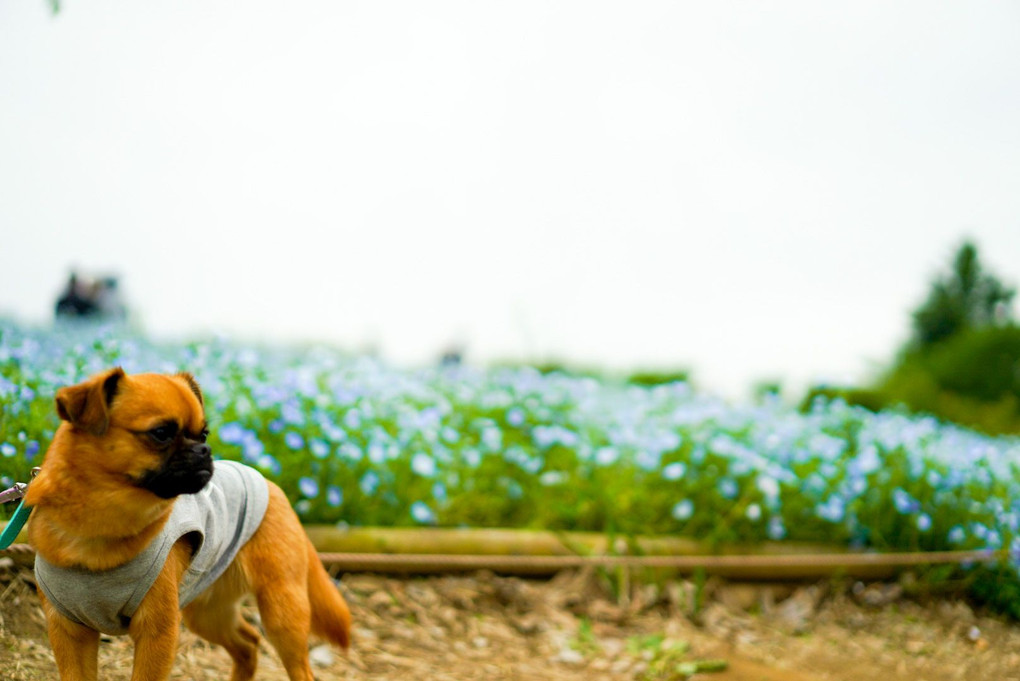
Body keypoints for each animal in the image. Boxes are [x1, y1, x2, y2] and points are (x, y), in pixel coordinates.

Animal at [24, 369, 350, 676]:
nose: (205, 450)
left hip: (282, 613)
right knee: (248, 644)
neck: (97, 531)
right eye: (161, 433)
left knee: (296, 666)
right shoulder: (69, 633)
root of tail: (269, 484)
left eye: (204, 435)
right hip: (207, 614)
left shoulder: (157, 634)